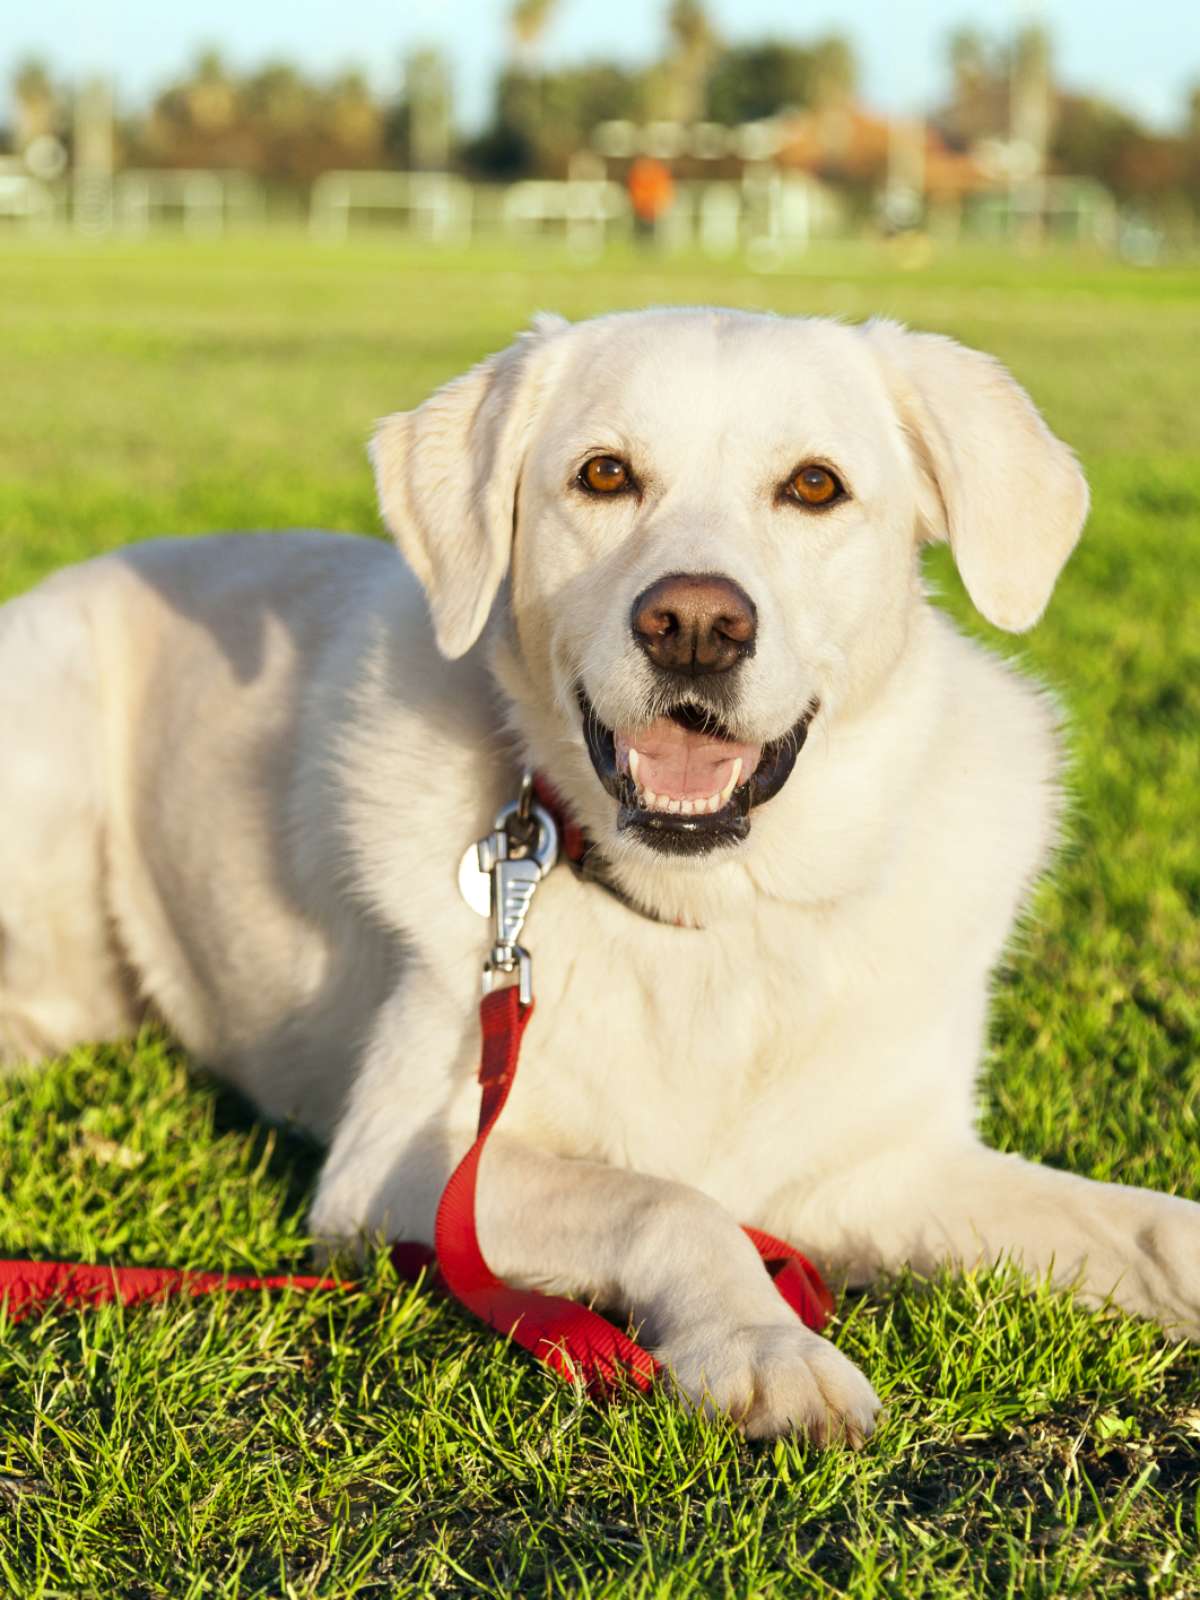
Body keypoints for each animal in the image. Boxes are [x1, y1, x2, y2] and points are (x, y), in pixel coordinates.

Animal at [2, 305, 1200, 1446]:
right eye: (605, 474)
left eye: (815, 485)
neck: (719, 915)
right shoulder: (405, 1162)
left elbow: (1138, 1223)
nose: (696, 626)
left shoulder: (883, 1168)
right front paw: (764, 1345)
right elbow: (667, 1201)